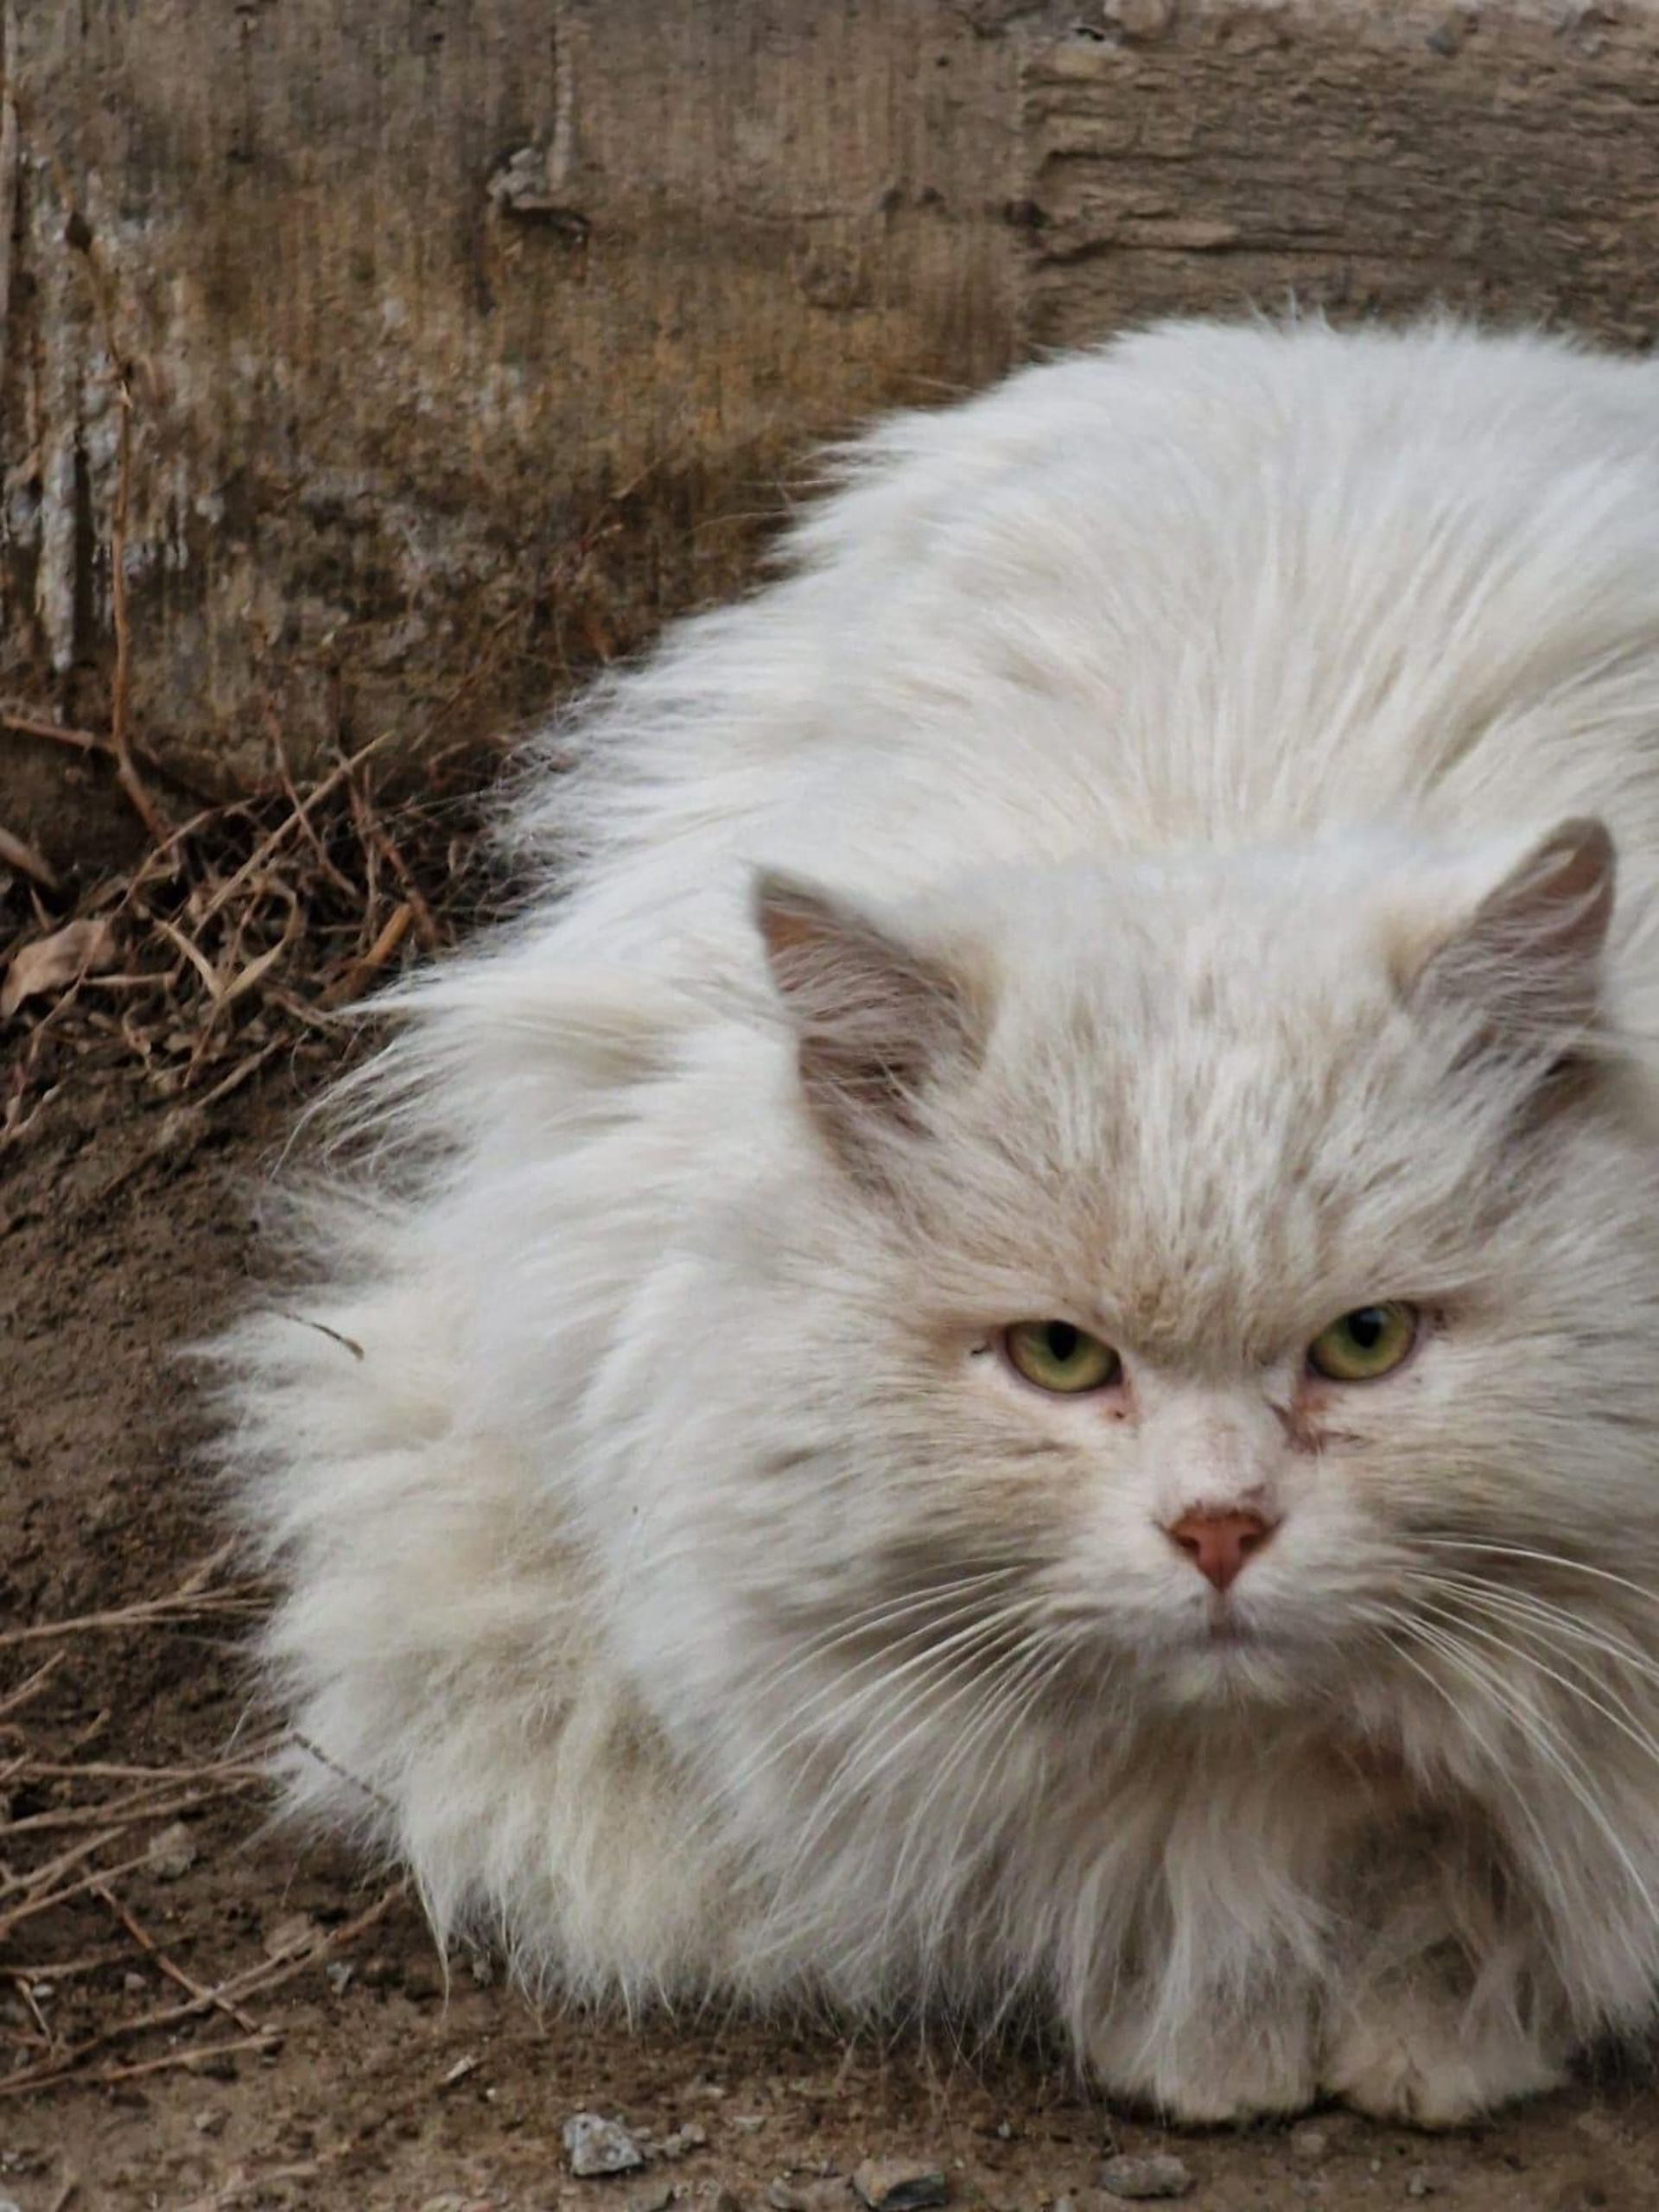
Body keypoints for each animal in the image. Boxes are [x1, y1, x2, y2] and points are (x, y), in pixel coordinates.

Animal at [214, 316, 1659, 2123]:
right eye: (1058, 1360)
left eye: (1368, 1343)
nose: (1219, 1533)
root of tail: (1370, 343)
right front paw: (1220, 2041)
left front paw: (1425, 2031)